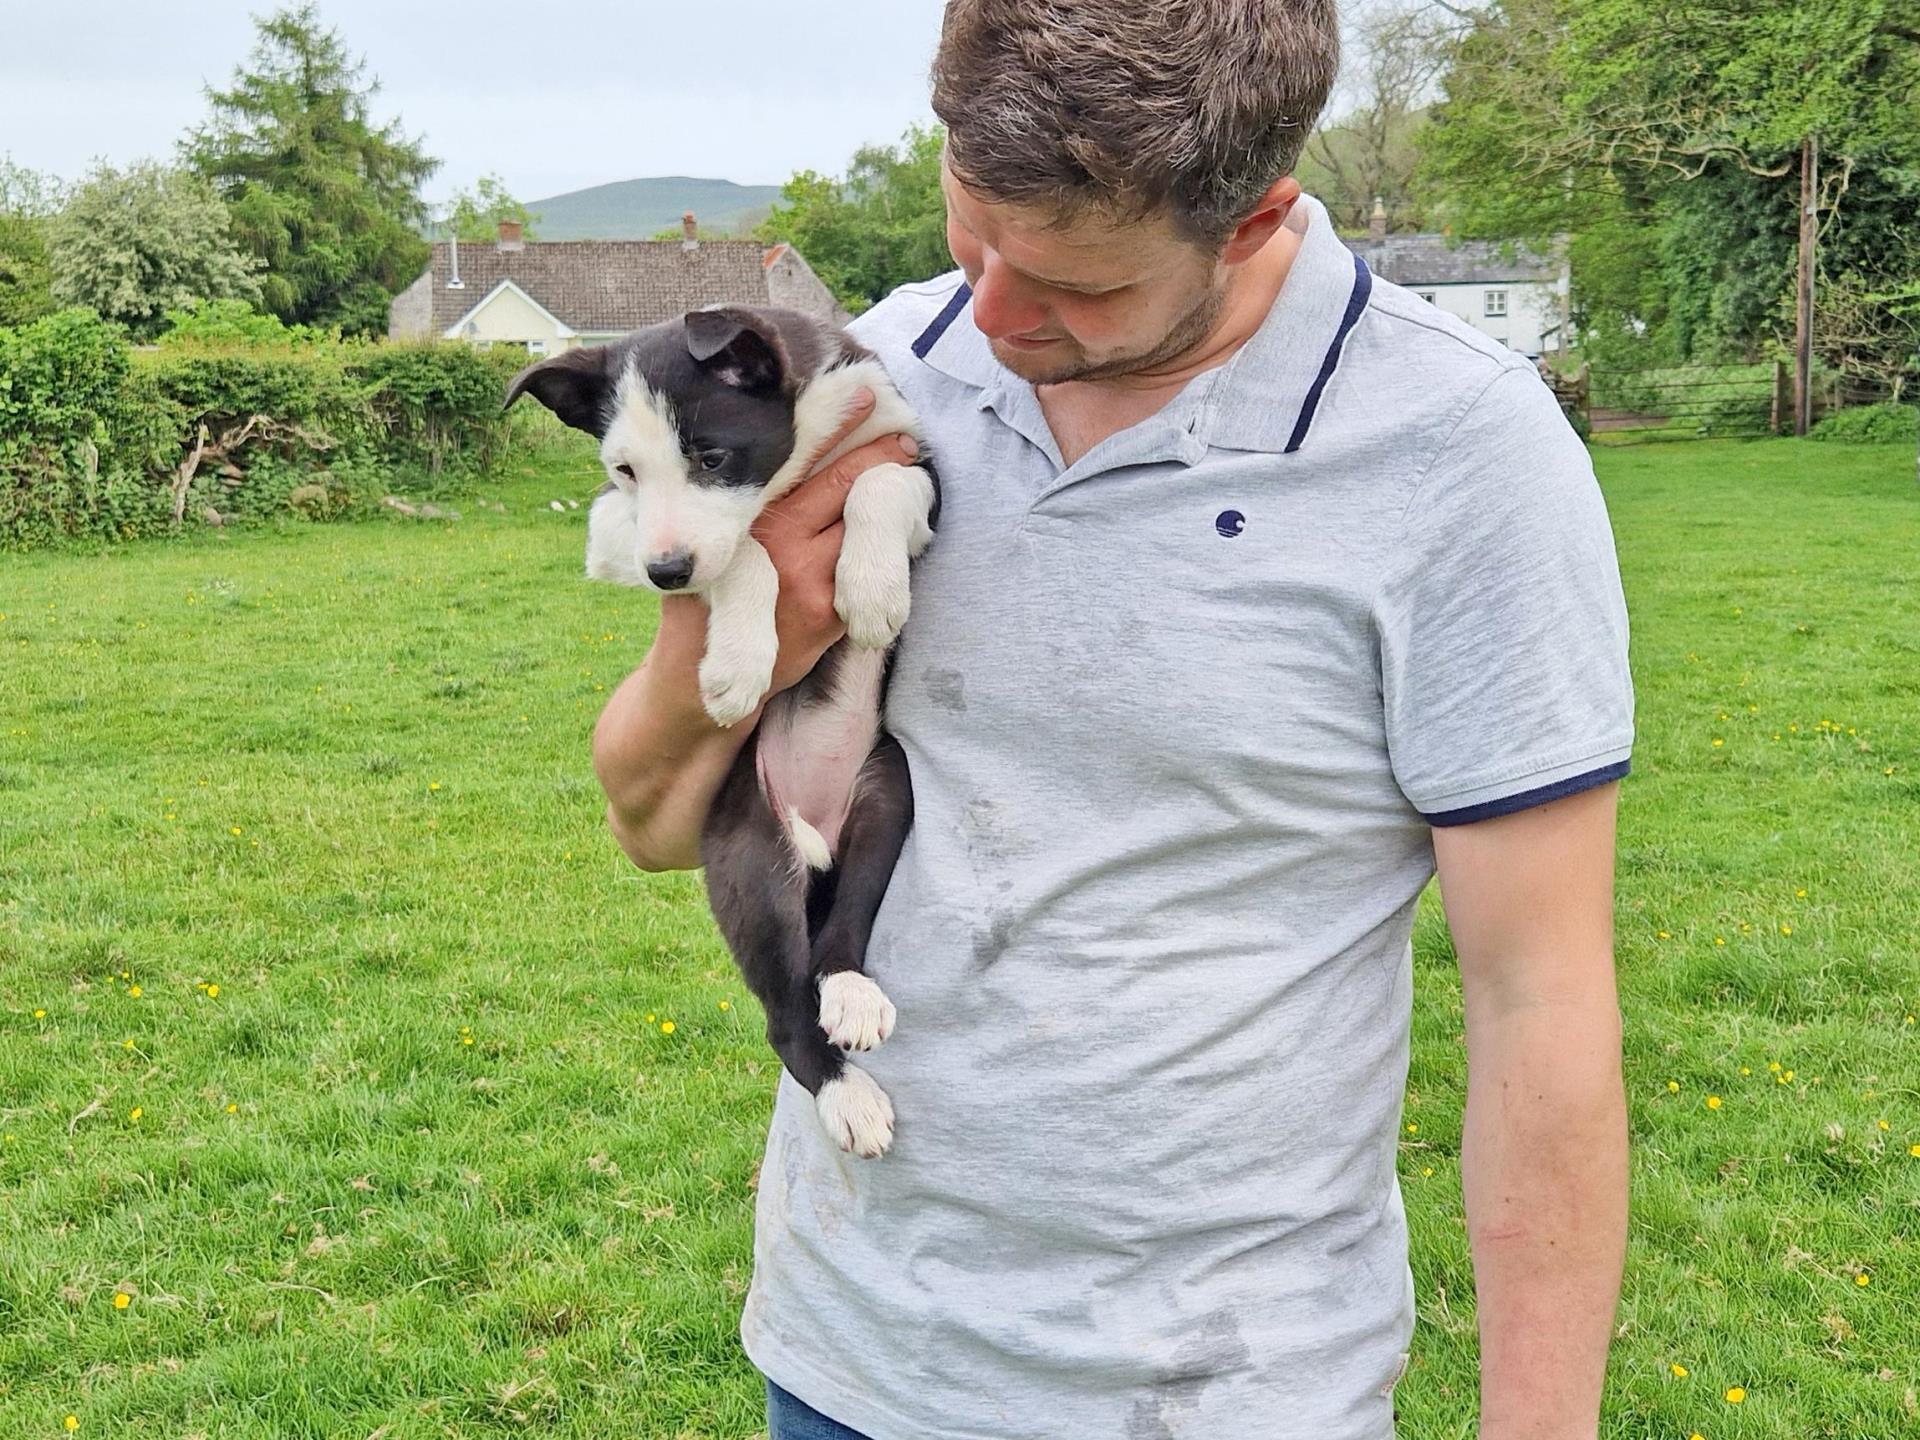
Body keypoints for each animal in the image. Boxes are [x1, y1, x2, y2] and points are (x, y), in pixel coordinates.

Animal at [503, 307, 936, 1159]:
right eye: (625, 470)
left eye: (710, 456)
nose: (668, 573)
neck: (798, 461)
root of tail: (812, 834)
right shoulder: (615, 527)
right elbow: (752, 550)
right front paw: (738, 664)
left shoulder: (919, 465)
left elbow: (880, 483)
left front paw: (871, 590)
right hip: (749, 861)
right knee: (784, 1018)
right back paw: (849, 1098)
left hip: (887, 796)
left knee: (840, 931)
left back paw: (853, 996)